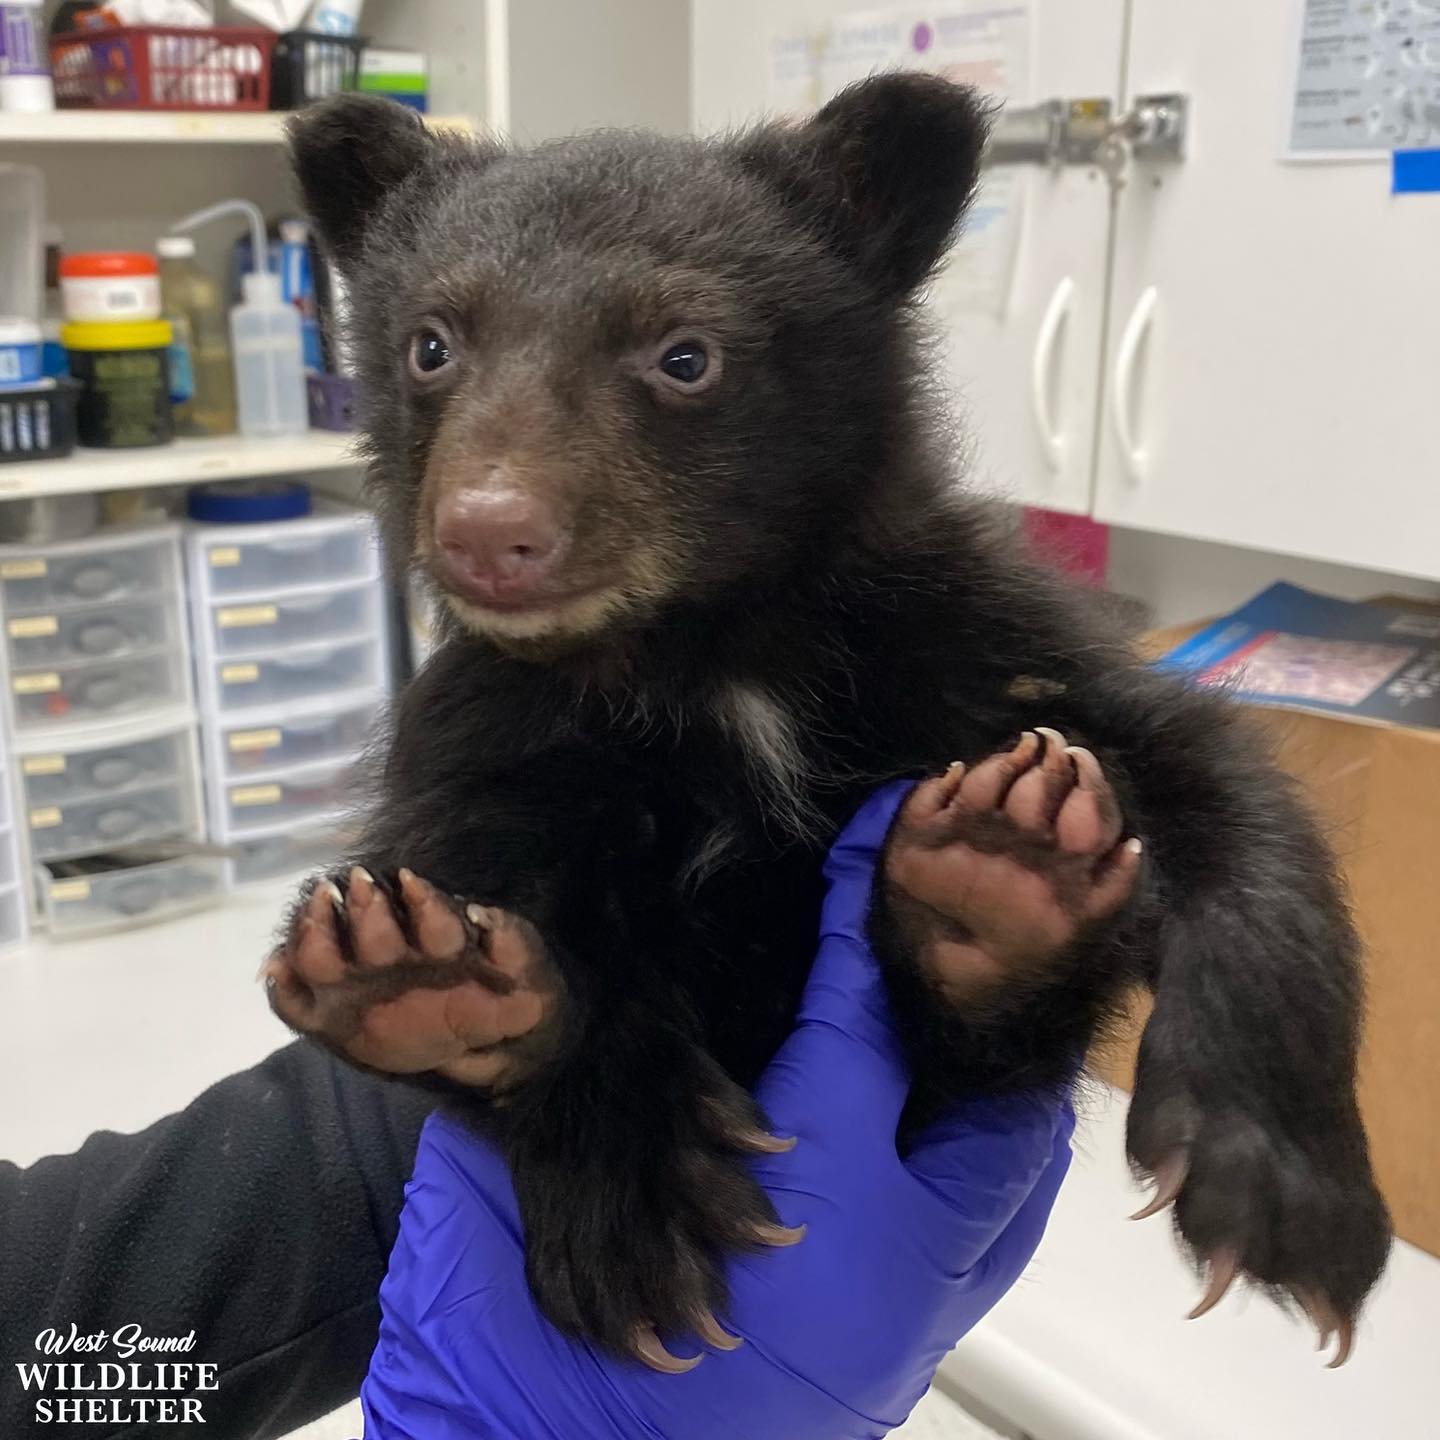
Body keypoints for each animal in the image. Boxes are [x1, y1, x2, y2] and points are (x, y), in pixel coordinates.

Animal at [267, 75, 1390, 1372]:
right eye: (432, 344)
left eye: (684, 355)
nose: (490, 532)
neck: (708, 652)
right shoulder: (498, 732)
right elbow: (492, 878)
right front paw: (631, 1204)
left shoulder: (971, 631)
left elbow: (1207, 775)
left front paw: (1285, 1192)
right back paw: (413, 982)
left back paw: (1006, 882)